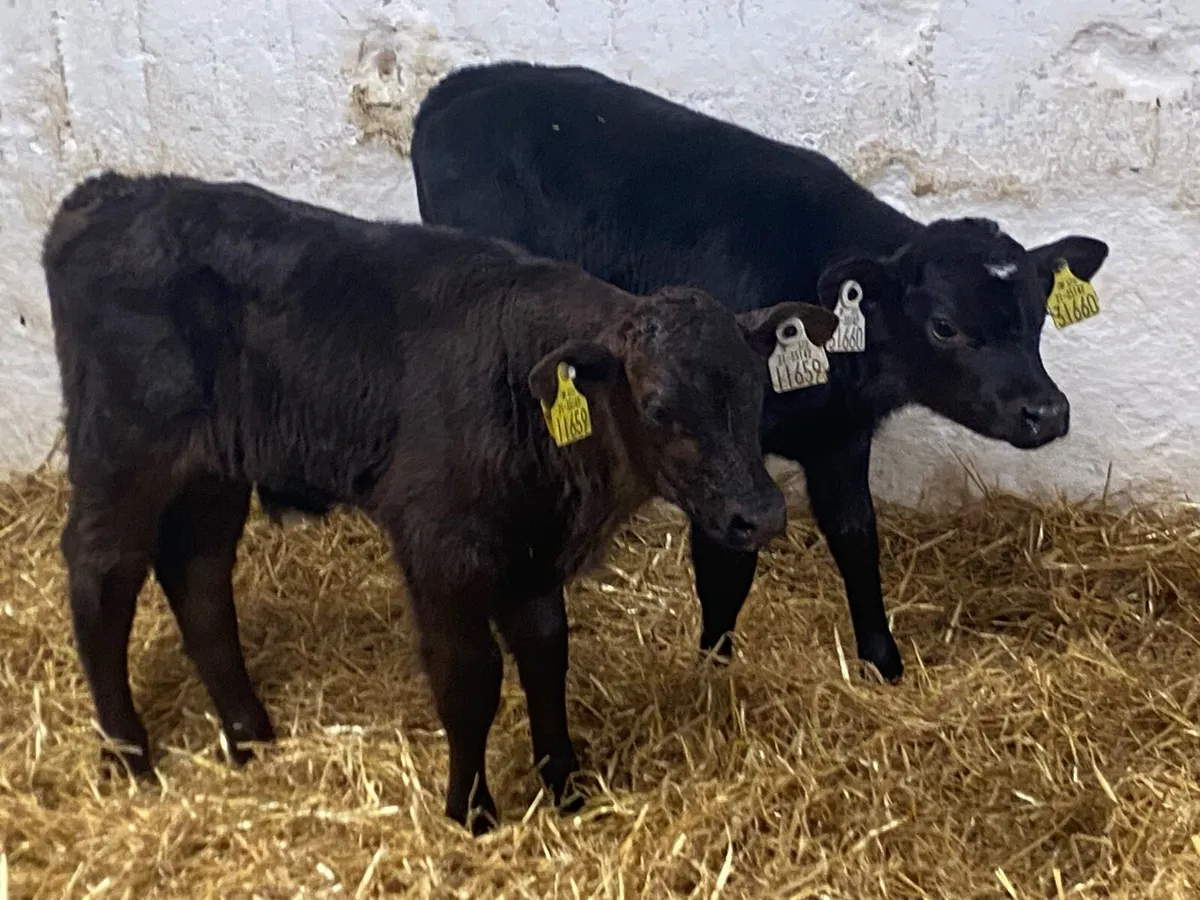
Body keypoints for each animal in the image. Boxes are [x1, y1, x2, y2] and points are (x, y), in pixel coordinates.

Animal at [42, 170, 840, 834]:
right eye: (659, 407)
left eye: (756, 390)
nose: (760, 514)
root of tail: (107, 194)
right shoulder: (440, 547)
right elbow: (469, 677)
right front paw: (472, 812)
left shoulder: (529, 555)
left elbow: (547, 653)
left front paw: (566, 787)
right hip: (122, 451)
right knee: (101, 574)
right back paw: (128, 754)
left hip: (211, 474)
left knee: (199, 578)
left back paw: (249, 736)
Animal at [409, 61, 1111, 684]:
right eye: (944, 325)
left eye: (1037, 313)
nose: (1046, 412)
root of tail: (459, 87)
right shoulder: (715, 451)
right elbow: (725, 566)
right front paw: (713, 670)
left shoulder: (839, 440)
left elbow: (856, 538)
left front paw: (883, 663)